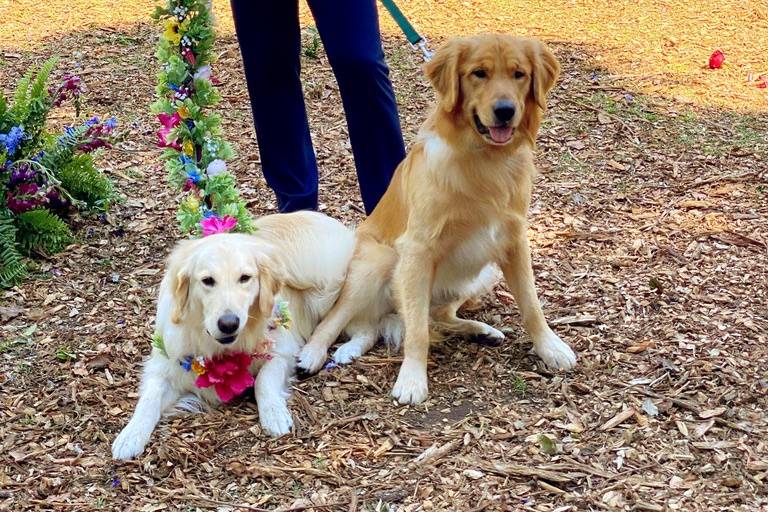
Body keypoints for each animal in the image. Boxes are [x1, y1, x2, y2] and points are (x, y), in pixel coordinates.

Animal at [112, 210, 380, 458]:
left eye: (245, 278)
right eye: (207, 280)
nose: (229, 324)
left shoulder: (282, 349)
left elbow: (263, 381)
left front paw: (274, 414)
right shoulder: (168, 363)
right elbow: (149, 399)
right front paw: (129, 436)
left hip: (329, 280)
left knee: (358, 323)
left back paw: (324, 353)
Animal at [296, 35, 580, 404]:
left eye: (519, 74)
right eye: (479, 73)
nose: (505, 111)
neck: (485, 160)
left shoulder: (513, 241)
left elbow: (532, 305)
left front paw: (550, 347)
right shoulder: (418, 249)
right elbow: (417, 331)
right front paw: (412, 380)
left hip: (482, 272)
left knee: (440, 315)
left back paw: (481, 331)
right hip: (378, 262)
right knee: (334, 319)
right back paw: (312, 354)